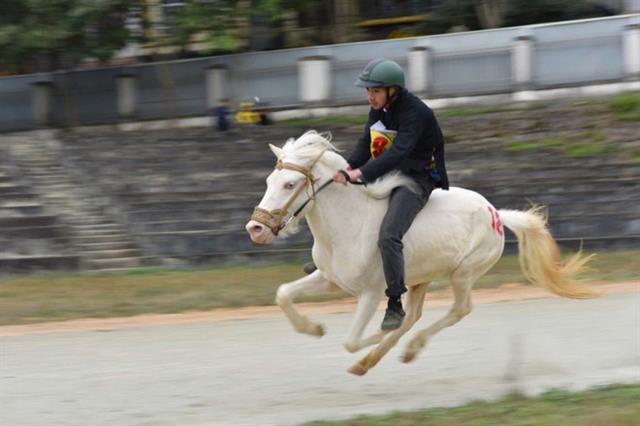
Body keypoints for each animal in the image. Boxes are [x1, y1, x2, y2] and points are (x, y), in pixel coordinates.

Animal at [245, 130, 599, 376]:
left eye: (290, 184)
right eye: (269, 179)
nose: (256, 228)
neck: (348, 224)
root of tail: (496, 213)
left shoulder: (372, 292)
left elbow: (352, 339)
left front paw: (368, 335)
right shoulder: (329, 279)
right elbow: (283, 294)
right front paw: (314, 328)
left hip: (463, 273)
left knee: (457, 310)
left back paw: (409, 348)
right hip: (420, 279)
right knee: (414, 315)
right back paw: (370, 361)